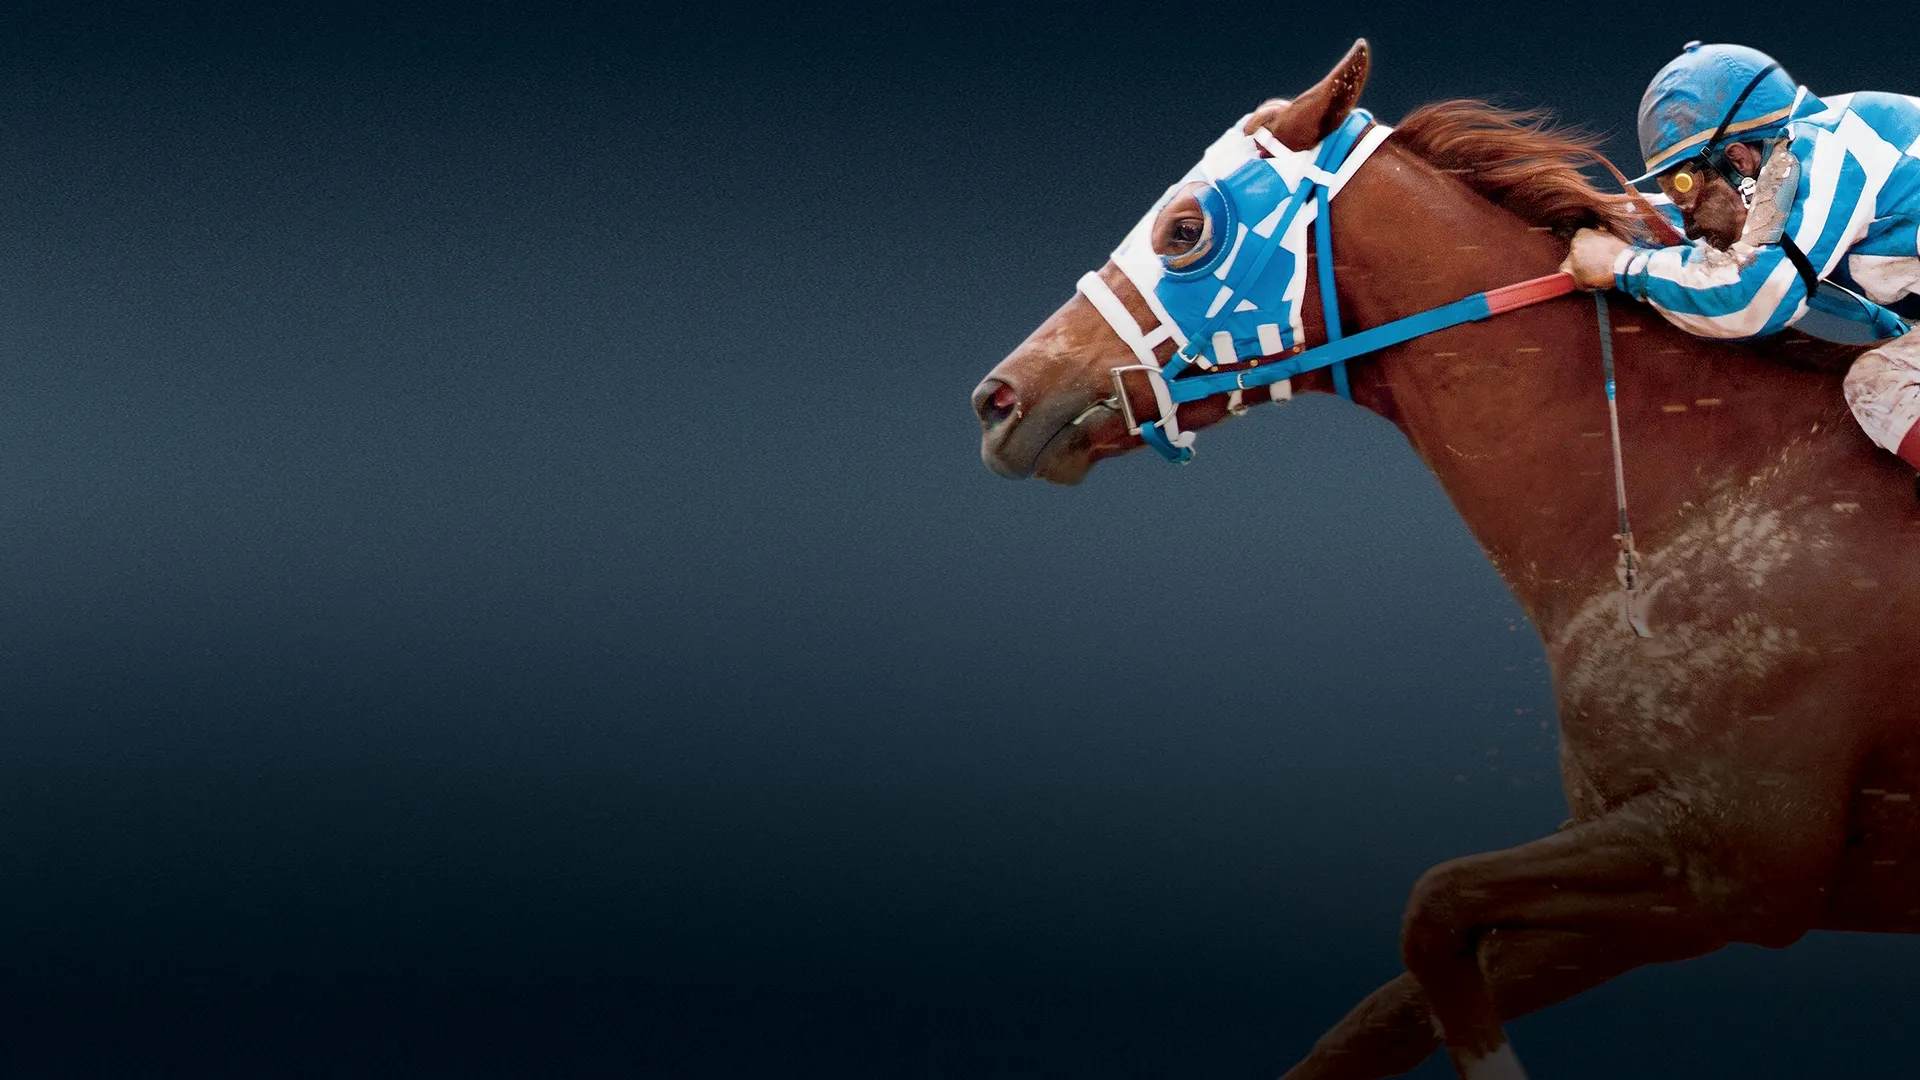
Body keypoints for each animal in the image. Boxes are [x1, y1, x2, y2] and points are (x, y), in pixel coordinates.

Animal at [971, 39, 1920, 1080]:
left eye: (1185, 230)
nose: (999, 398)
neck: (1696, 493)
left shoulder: (1731, 855)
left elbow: (1435, 904)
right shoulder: (1659, 870)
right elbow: (1381, 1013)